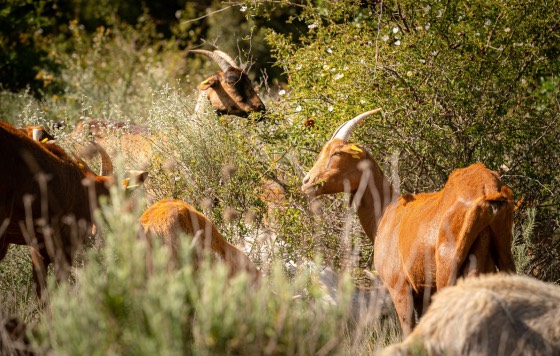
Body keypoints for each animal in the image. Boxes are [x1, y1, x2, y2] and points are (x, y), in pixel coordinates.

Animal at [302, 108, 516, 334]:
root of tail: (488, 188)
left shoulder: (399, 286)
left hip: (448, 265)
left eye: (336, 153)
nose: (306, 182)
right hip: (501, 254)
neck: (386, 212)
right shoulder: (423, 290)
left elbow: (408, 328)